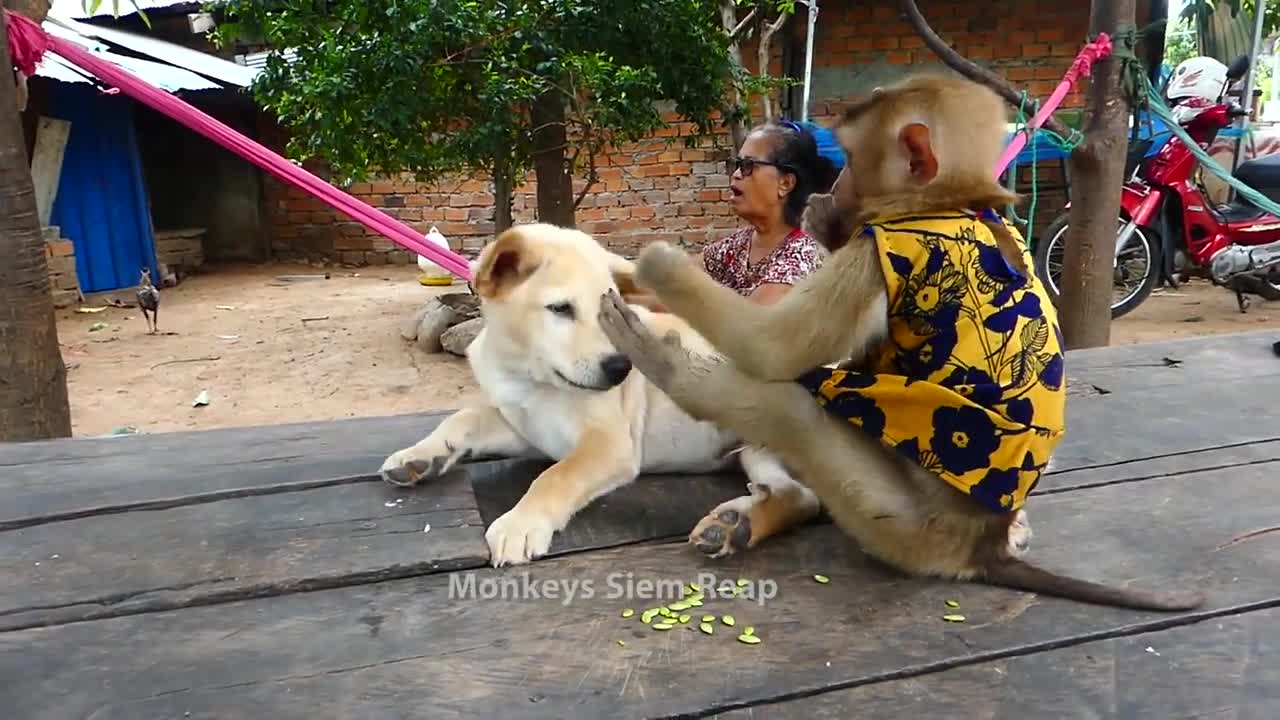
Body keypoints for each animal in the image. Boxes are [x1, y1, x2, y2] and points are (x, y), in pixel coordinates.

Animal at [378, 221, 819, 563]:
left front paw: (521, 523)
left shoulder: (609, 444)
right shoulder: (527, 430)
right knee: (800, 497)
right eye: (560, 309)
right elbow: (464, 417)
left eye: (611, 308)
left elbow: (556, 476)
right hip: (755, 452)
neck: (531, 377)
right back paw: (734, 526)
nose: (622, 368)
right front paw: (418, 456)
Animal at [593, 73, 1203, 607]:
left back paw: (668, 367)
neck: (946, 204)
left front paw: (658, 265)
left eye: (850, 160)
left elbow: (773, 348)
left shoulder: (869, 251)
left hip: (904, 523)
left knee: (789, 404)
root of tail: (983, 548)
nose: (830, 192)